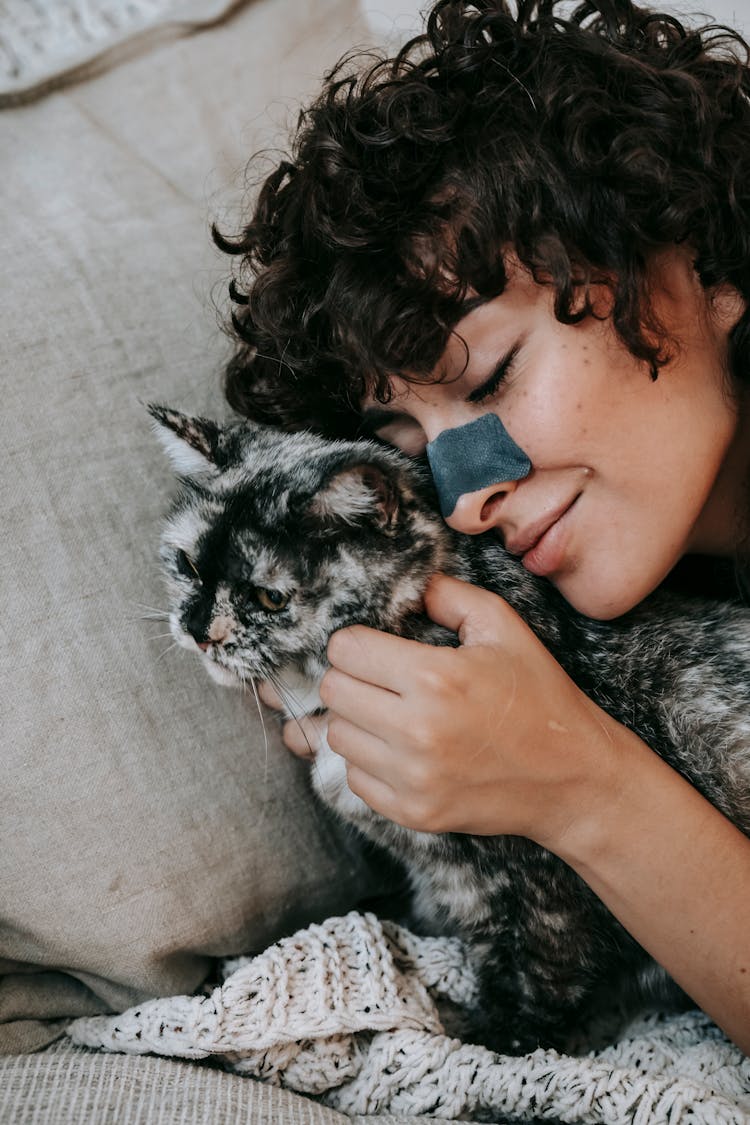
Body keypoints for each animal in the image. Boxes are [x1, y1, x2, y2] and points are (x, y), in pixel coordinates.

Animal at [149, 405, 750, 1053]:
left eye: (268, 597)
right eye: (188, 565)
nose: (197, 628)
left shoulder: (548, 893)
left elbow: (537, 986)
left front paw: (482, 1041)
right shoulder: (451, 888)